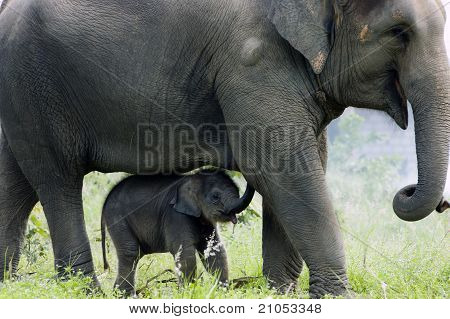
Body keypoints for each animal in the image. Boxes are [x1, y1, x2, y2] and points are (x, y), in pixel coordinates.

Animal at [102, 171, 255, 296]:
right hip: (117, 219)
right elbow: (185, 253)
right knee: (131, 252)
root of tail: (106, 200)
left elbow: (214, 251)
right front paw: (189, 293)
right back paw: (127, 296)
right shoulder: (175, 215)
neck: (191, 179)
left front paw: (221, 292)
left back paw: (117, 294)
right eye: (215, 196)